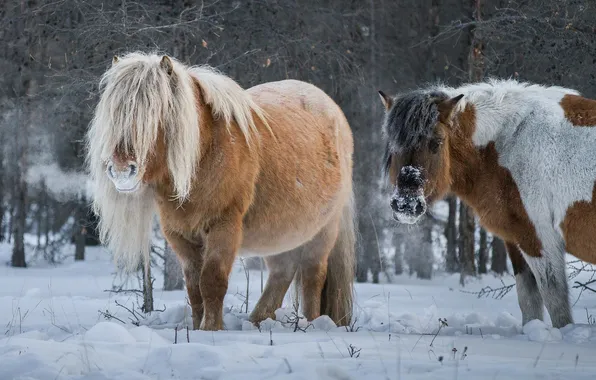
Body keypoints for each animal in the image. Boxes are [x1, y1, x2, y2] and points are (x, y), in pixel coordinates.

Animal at [86, 52, 356, 332]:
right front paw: (196, 328)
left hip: (323, 230)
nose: (121, 170)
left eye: (156, 113)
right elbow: (194, 287)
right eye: (113, 114)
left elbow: (212, 282)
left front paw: (211, 330)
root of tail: (335, 112)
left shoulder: (223, 227)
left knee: (313, 275)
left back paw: (313, 324)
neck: (205, 155)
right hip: (283, 233)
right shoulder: (179, 235)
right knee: (283, 271)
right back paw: (258, 321)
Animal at [380, 78, 596, 328]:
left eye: (437, 143)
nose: (406, 204)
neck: (509, 141)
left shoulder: (539, 238)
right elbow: (529, 300)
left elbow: (555, 300)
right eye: (392, 145)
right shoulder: (516, 239)